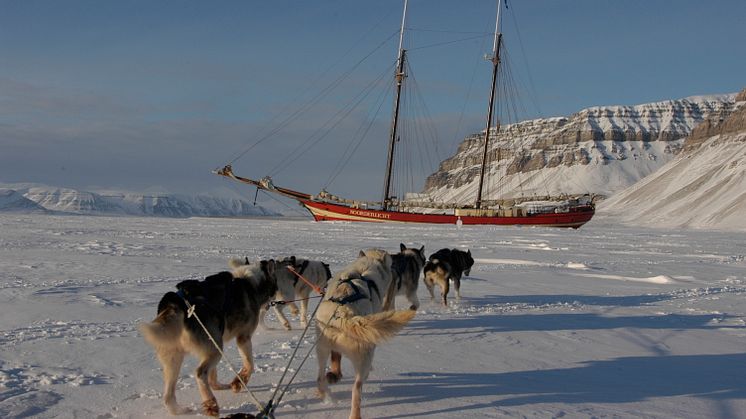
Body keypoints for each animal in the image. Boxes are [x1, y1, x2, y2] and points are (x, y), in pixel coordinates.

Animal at [139, 262, 276, 416]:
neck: (250, 283)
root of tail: (175, 304)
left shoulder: (213, 342)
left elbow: (213, 373)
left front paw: (218, 385)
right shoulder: (243, 337)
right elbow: (249, 365)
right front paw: (238, 383)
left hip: (175, 359)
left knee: (168, 395)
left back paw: (180, 410)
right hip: (214, 350)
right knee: (200, 373)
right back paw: (211, 404)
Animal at [312, 249, 412, 419]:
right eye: (391, 262)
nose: (395, 269)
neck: (364, 270)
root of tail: (343, 314)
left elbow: (336, 357)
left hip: (322, 349)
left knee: (319, 378)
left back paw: (325, 395)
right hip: (364, 358)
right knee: (357, 389)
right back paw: (355, 414)